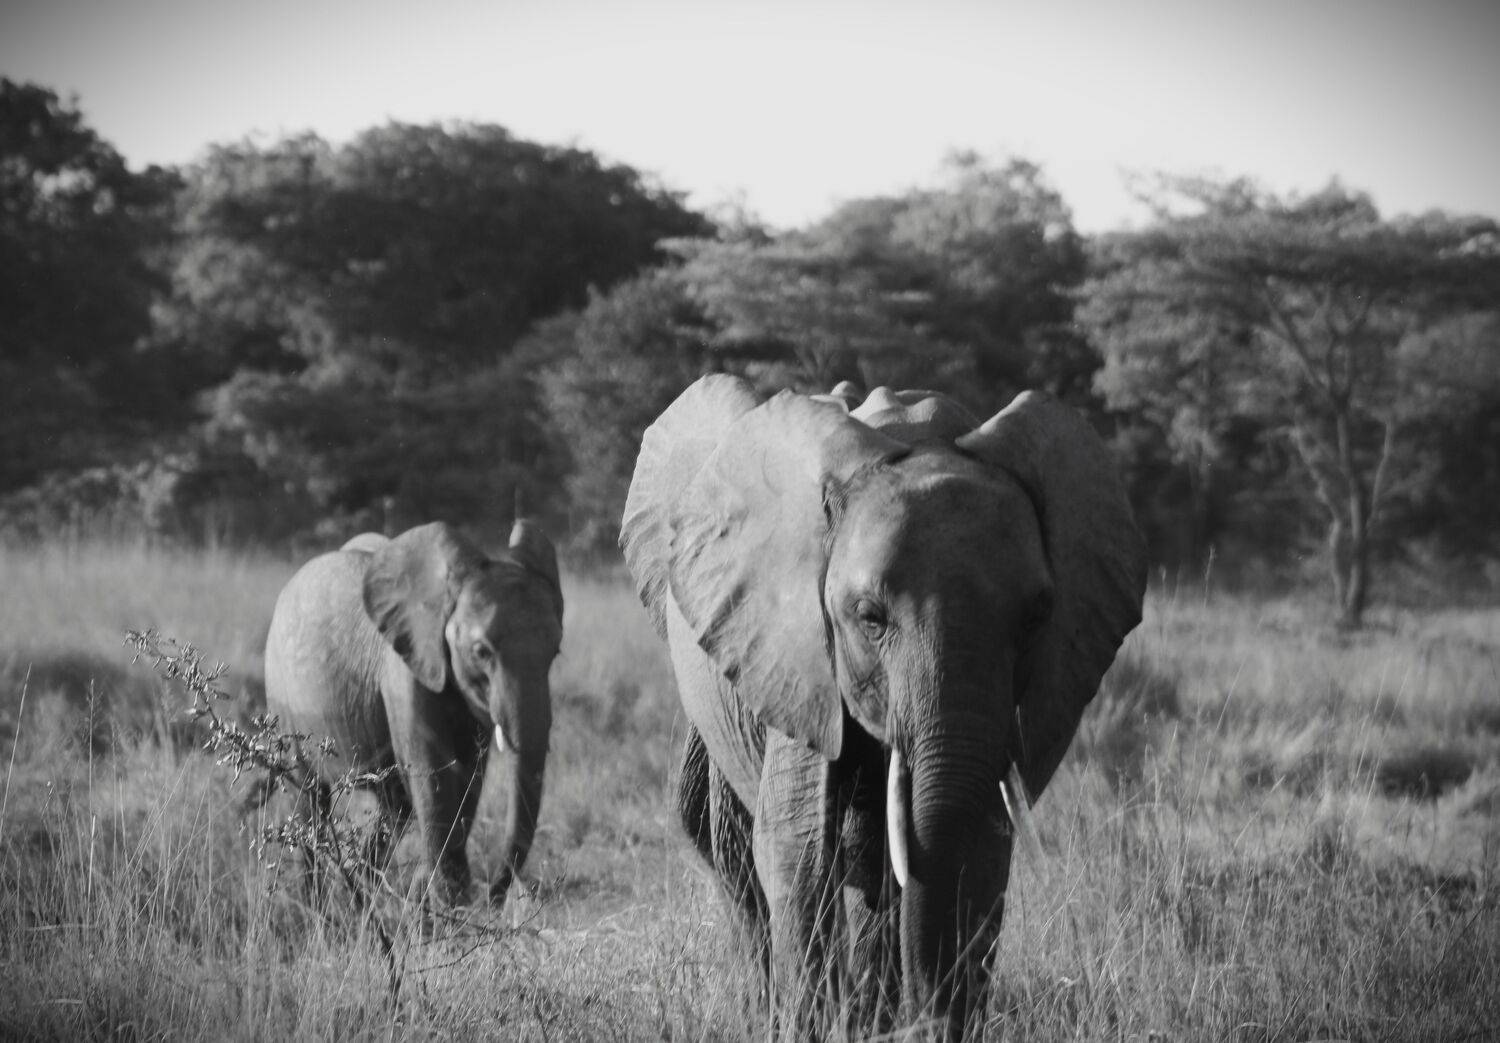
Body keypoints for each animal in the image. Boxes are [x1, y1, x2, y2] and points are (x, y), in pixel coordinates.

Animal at [262, 519, 563, 908]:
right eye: (481, 652)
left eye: (555, 651)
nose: (493, 898)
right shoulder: (402, 673)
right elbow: (434, 773)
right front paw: (449, 901)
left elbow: (469, 777)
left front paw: (443, 899)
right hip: (282, 699)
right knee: (307, 799)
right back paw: (314, 907)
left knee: (394, 807)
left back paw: (364, 893)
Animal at [620, 376, 1146, 1039]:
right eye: (869, 618)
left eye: (1035, 619)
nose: (924, 1022)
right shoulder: (796, 652)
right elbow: (796, 846)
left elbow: (978, 849)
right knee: (728, 844)